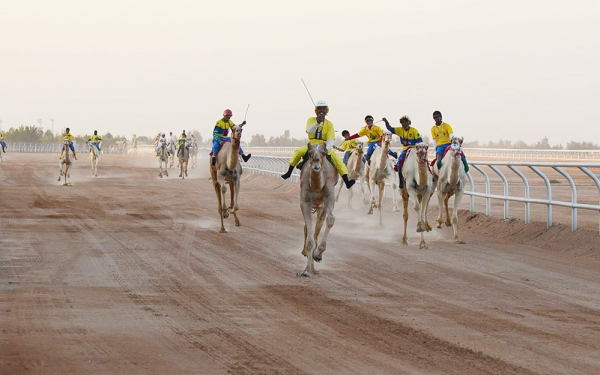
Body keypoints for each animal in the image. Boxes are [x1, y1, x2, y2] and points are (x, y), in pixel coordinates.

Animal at [298, 142, 340, 278]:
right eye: (310, 153)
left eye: (324, 153)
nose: (316, 162)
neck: (317, 186)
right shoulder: (305, 202)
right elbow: (309, 234)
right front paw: (306, 270)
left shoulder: (329, 198)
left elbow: (331, 220)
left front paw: (317, 254)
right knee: (308, 230)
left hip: (321, 207)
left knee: (317, 229)